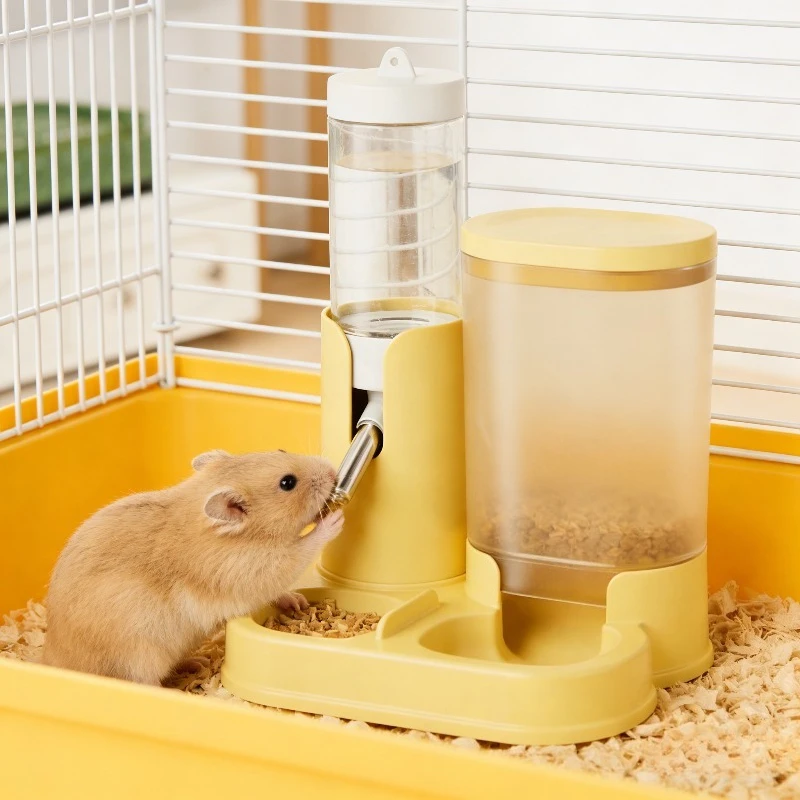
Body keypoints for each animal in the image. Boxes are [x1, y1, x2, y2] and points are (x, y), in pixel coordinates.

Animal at [41, 449, 343, 685]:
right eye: (287, 482)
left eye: (281, 450)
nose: (332, 471)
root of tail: (51, 661)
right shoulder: (257, 568)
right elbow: (301, 551)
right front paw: (334, 520)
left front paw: (298, 601)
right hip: (140, 653)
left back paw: (196, 663)